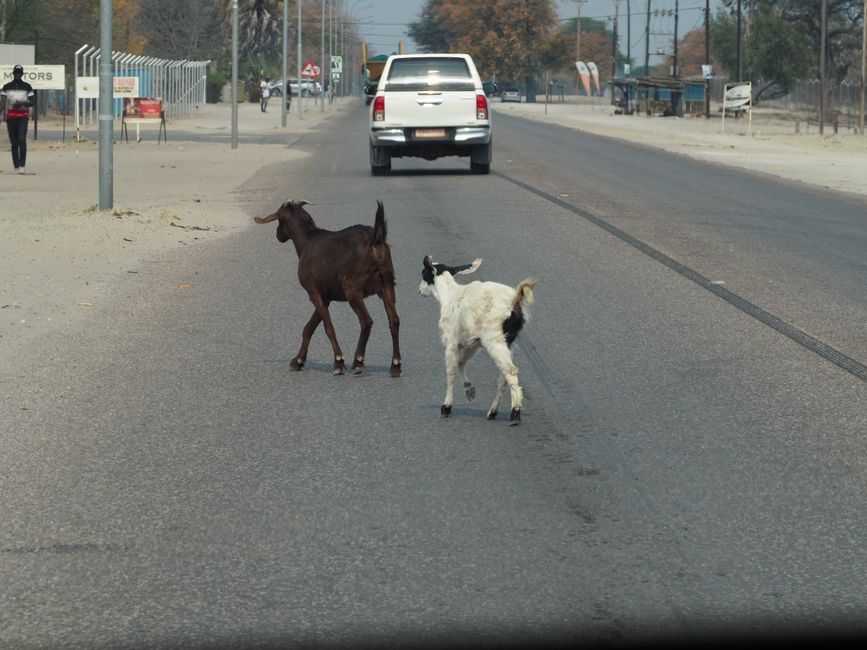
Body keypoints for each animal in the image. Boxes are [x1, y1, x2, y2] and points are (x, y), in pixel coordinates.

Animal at [251, 200, 400, 378]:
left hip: (353, 291)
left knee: (366, 321)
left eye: (280, 219)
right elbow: (308, 328)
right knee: (394, 321)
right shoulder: (325, 297)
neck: (306, 241)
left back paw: (358, 361)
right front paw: (298, 361)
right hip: (387, 285)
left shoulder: (314, 293)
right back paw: (395, 365)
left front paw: (338, 362)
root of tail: (376, 242)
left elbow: (328, 328)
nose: (278, 235)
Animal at [418, 253, 536, 426]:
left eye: (424, 274)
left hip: (494, 339)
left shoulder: (452, 341)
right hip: (509, 341)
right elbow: (460, 363)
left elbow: (451, 371)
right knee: (503, 376)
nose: (419, 290)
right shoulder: (471, 343)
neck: (451, 295)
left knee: (510, 370)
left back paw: (515, 412)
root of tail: (515, 299)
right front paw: (470, 390)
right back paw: (493, 411)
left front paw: (446, 407)